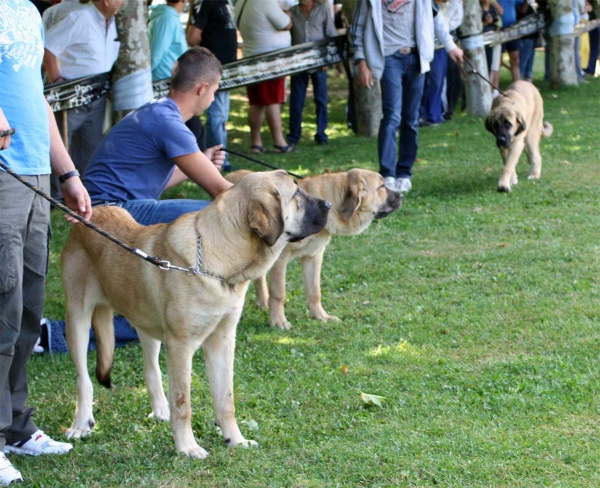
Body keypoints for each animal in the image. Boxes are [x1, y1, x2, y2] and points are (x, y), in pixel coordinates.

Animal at [61, 171, 330, 458]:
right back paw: (80, 424)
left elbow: (225, 399)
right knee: (84, 379)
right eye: (297, 193)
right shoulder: (181, 346)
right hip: (77, 318)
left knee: (151, 370)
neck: (220, 263)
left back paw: (160, 411)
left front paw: (235, 439)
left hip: (146, 325)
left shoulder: (222, 341)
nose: (328, 205)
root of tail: (88, 216)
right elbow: (183, 403)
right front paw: (187, 447)